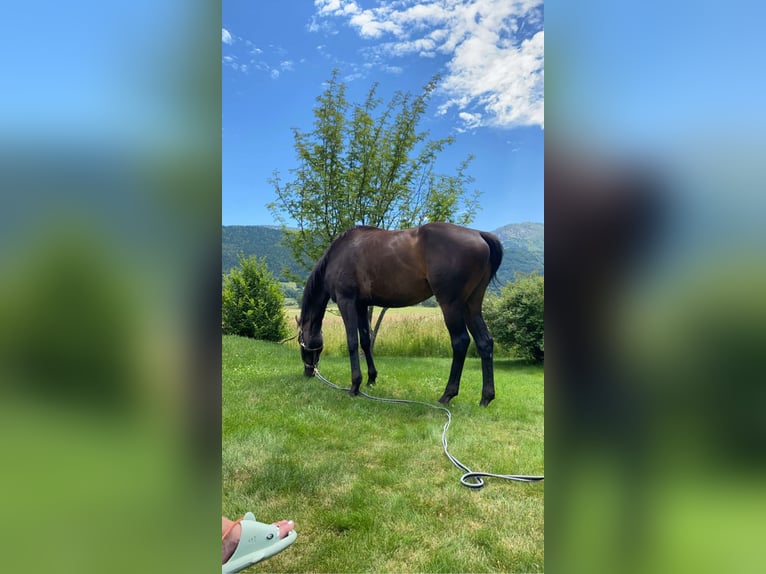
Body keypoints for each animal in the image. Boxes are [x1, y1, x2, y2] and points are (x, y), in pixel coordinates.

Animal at [296, 223, 504, 408]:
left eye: (301, 342)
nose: (309, 372)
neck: (337, 255)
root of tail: (479, 234)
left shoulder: (346, 301)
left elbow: (352, 342)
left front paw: (355, 385)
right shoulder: (362, 305)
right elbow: (365, 341)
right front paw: (371, 378)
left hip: (451, 305)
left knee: (460, 342)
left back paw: (447, 394)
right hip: (471, 305)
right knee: (484, 342)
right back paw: (486, 398)